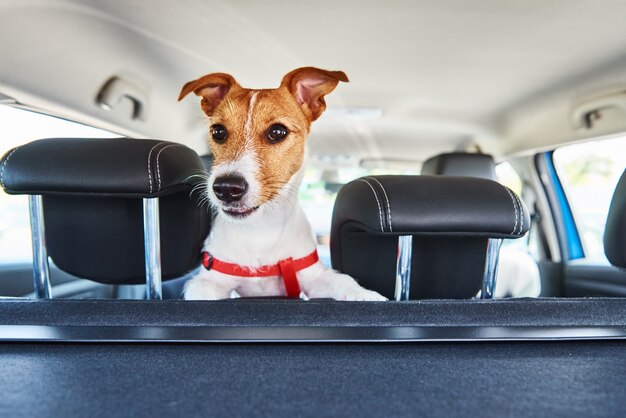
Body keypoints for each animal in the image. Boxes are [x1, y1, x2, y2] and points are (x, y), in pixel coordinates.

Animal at [176, 66, 388, 300]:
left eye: (277, 131)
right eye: (218, 131)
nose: (226, 188)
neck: (261, 229)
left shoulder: (314, 277)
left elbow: (343, 280)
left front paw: (365, 294)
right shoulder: (209, 279)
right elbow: (203, 292)